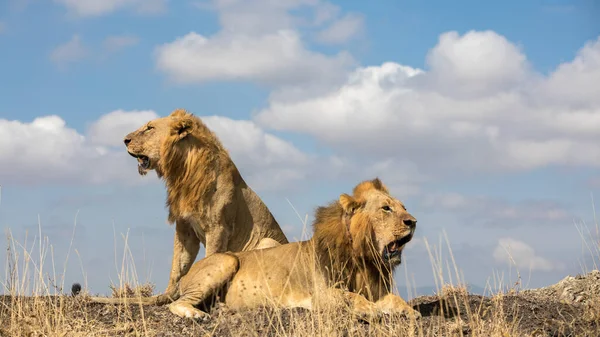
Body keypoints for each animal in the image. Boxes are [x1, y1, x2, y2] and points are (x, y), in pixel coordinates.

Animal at [91, 177, 420, 318]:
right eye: (387, 208)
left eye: (404, 206)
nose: (413, 221)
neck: (364, 257)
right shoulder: (322, 294)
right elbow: (354, 299)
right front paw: (374, 311)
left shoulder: (377, 287)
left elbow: (394, 299)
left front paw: (408, 312)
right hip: (225, 261)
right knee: (177, 303)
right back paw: (197, 315)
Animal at [100, 109, 288, 302]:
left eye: (149, 128)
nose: (124, 140)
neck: (182, 171)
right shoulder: (185, 229)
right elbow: (178, 265)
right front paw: (167, 295)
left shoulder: (218, 227)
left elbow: (211, 258)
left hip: (267, 241)